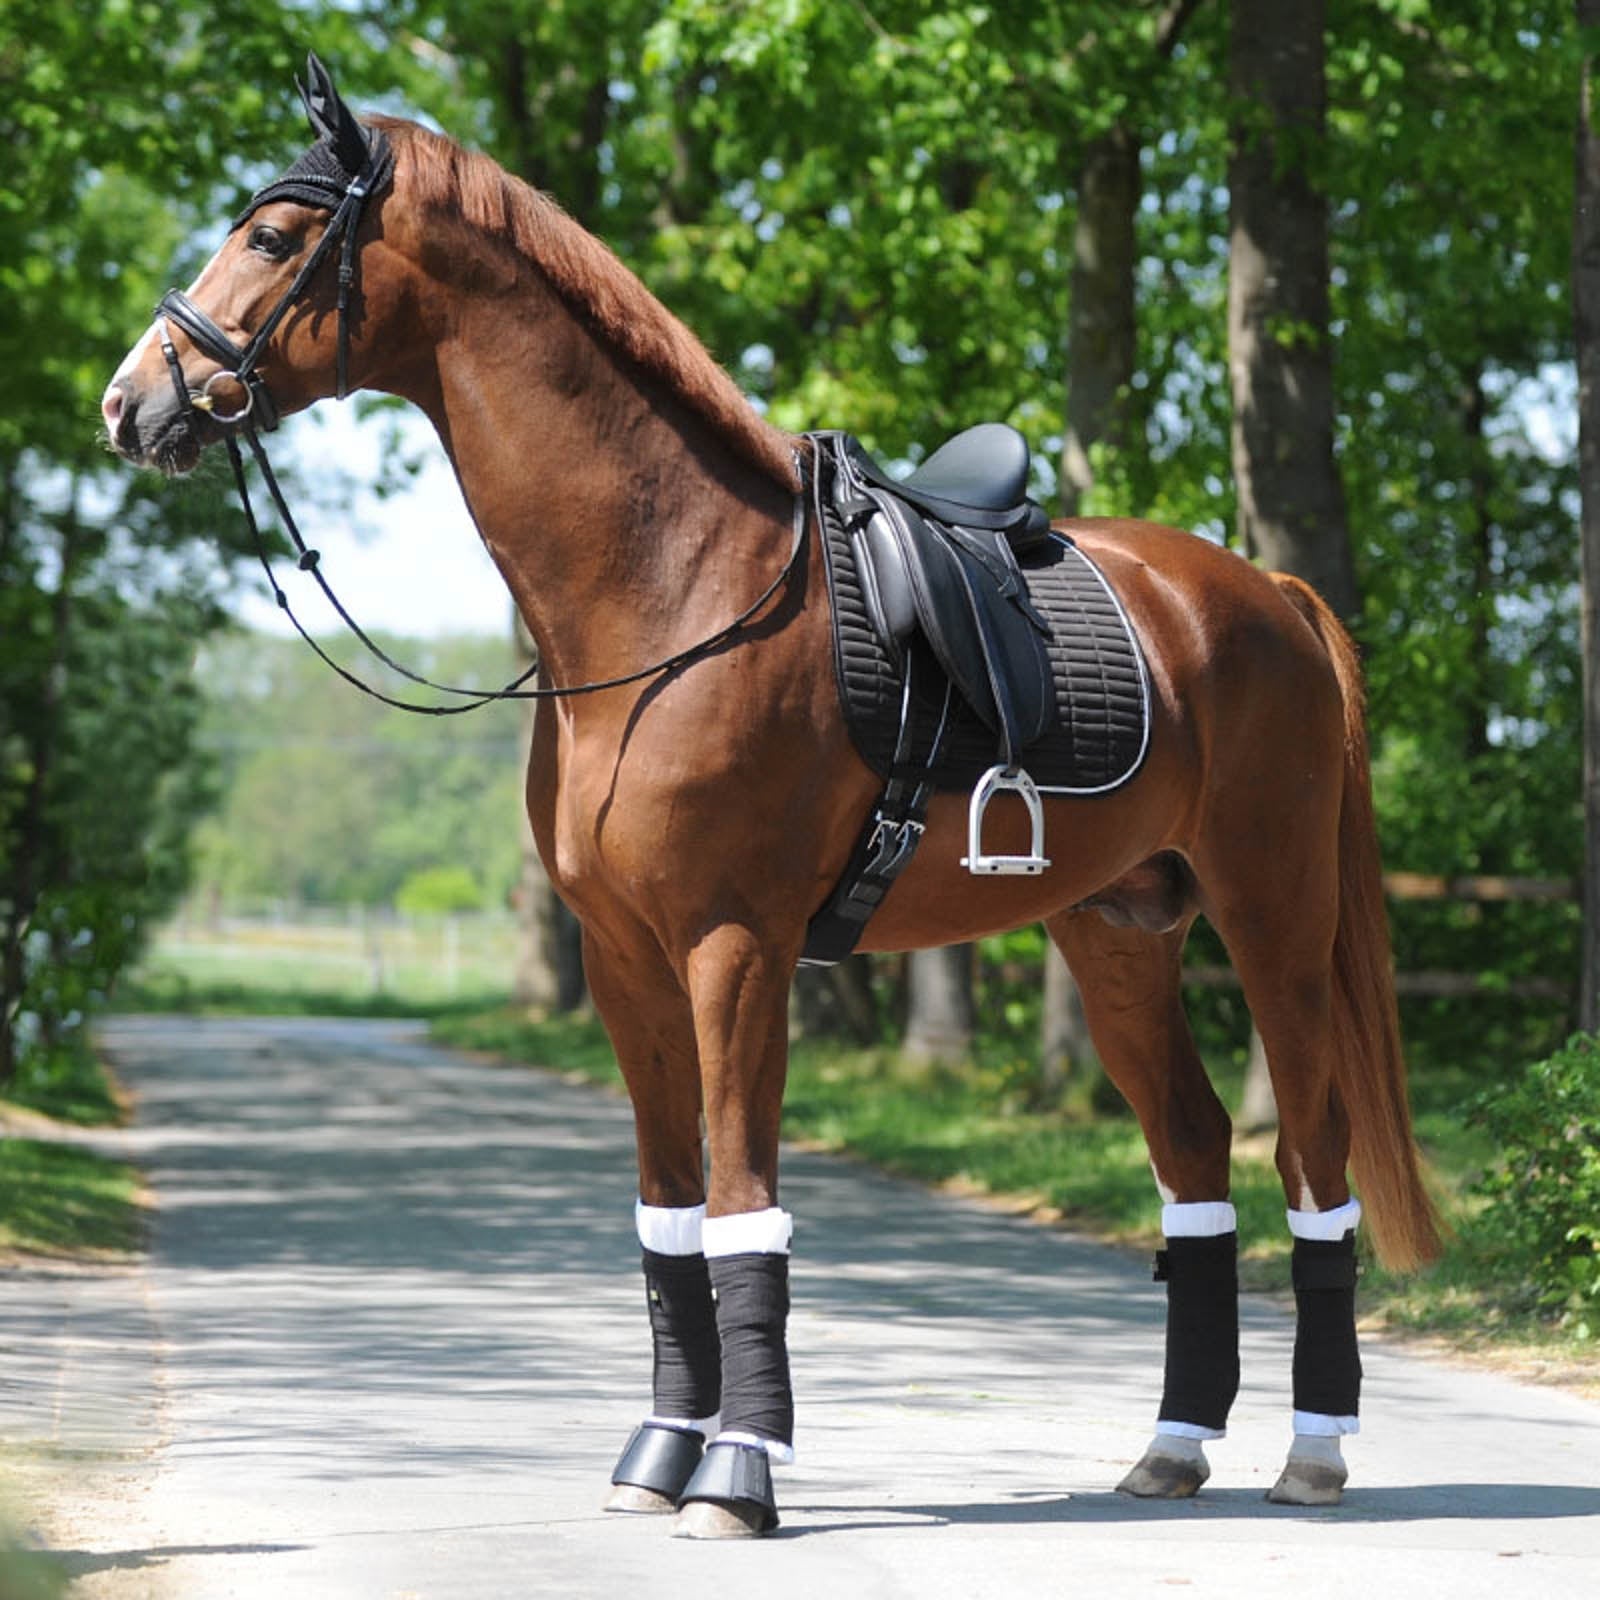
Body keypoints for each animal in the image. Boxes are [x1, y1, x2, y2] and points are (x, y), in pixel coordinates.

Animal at [103, 57, 1439, 1539]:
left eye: (275, 238)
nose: (128, 402)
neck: (675, 588)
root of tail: (1269, 596)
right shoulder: (624, 960)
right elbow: (670, 1214)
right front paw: (658, 1456)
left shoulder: (735, 948)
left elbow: (746, 1205)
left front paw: (737, 1474)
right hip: (1117, 932)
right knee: (1195, 1159)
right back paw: (1170, 1446)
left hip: (1275, 922)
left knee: (1311, 1161)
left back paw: (1313, 1455)